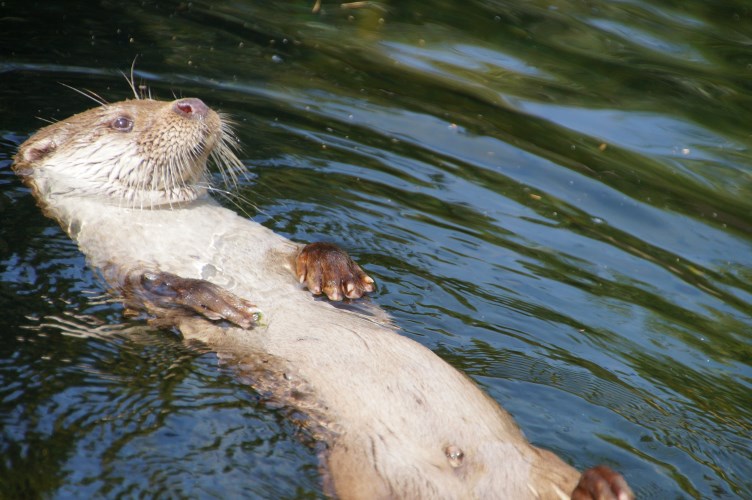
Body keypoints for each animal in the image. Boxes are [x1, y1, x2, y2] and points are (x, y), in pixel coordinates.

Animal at [13, 95, 634, 500]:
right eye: (121, 119)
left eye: (158, 95)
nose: (191, 102)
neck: (196, 240)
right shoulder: (117, 273)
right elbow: (154, 292)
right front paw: (219, 301)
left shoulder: (271, 245)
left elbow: (322, 251)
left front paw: (336, 275)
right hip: (361, 478)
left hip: (541, 463)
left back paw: (603, 483)